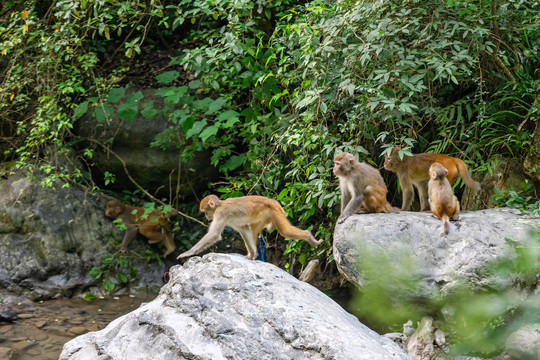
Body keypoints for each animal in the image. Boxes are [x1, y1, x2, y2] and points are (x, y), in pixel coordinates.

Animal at [176, 195, 320, 260]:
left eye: (205, 212)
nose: (207, 217)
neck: (219, 205)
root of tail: (272, 201)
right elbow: (243, 228)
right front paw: (251, 254)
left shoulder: (221, 214)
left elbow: (214, 234)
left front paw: (188, 252)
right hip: (265, 215)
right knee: (253, 230)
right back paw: (254, 254)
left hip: (274, 211)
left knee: (284, 230)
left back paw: (308, 236)